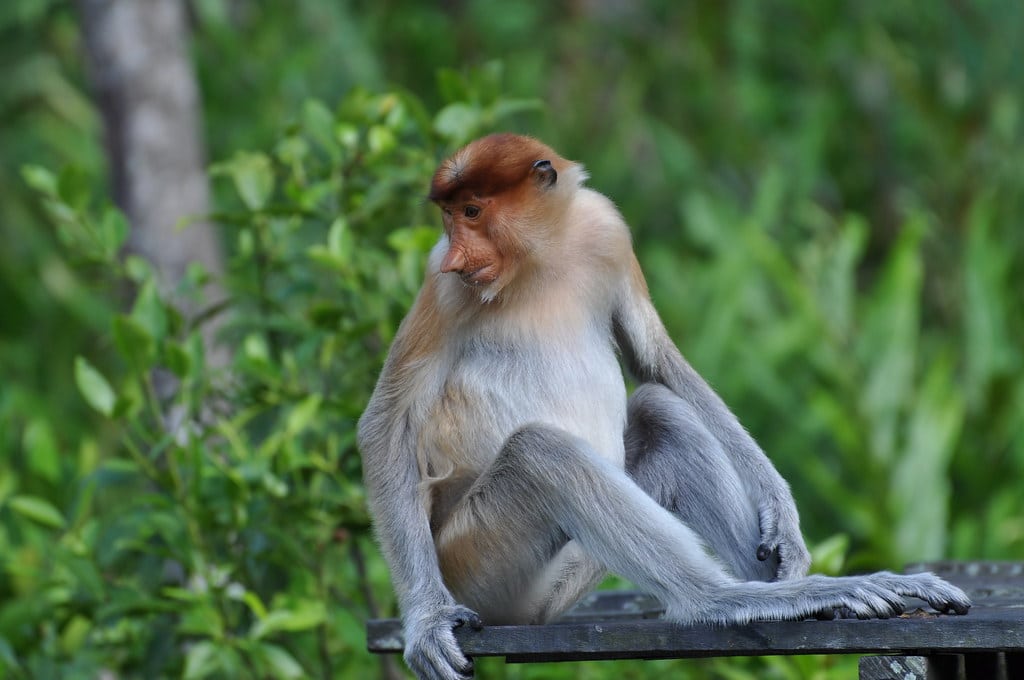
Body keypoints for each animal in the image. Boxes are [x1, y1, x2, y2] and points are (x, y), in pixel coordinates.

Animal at [357, 133, 970, 680]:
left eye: (473, 211)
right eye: (450, 220)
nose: (459, 257)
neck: (541, 257)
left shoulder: (607, 232)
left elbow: (656, 362)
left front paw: (782, 513)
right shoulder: (442, 287)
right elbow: (386, 423)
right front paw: (427, 624)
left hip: (562, 578)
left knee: (660, 411)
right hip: (477, 564)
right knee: (542, 452)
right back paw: (727, 600)